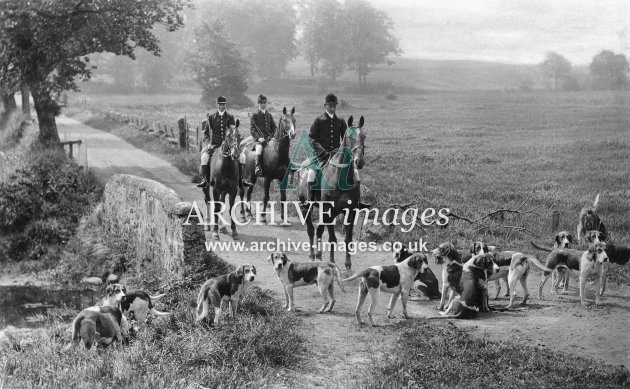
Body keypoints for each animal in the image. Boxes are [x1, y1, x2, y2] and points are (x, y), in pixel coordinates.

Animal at [298, 116, 368, 272]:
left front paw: (348, 264)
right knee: (311, 230)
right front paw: (332, 262)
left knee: (319, 230)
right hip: (306, 207)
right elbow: (332, 238)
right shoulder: (328, 210)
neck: (341, 178)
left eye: (363, 136)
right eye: (349, 136)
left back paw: (319, 255)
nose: (359, 162)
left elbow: (348, 239)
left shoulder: (350, 211)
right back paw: (312, 255)